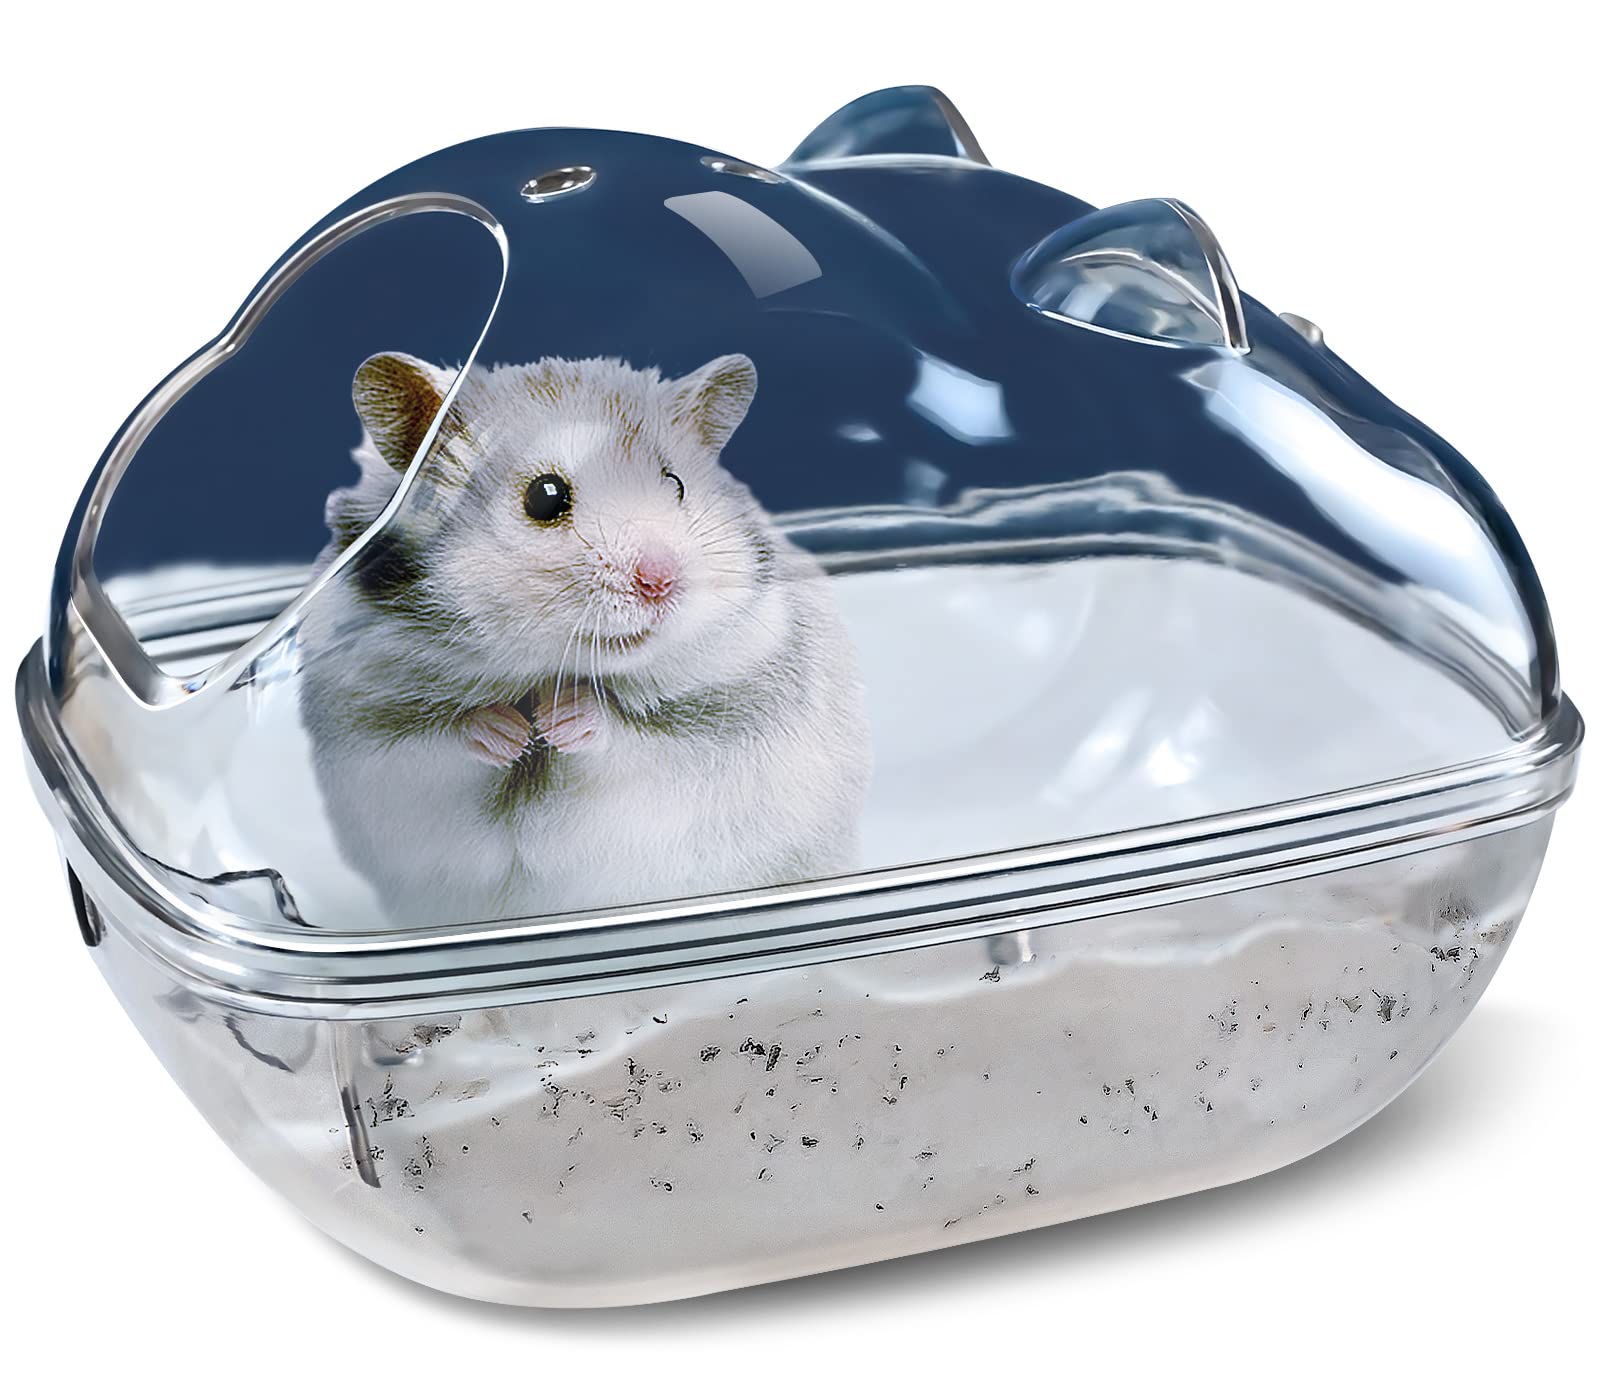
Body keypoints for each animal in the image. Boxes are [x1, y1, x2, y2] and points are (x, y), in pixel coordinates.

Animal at [297, 351, 870, 926]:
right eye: (545, 496)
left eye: (677, 485)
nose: (661, 581)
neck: (547, 669)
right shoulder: (367, 739)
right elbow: (440, 740)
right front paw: (510, 732)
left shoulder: (722, 729)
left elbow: (629, 739)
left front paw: (557, 720)